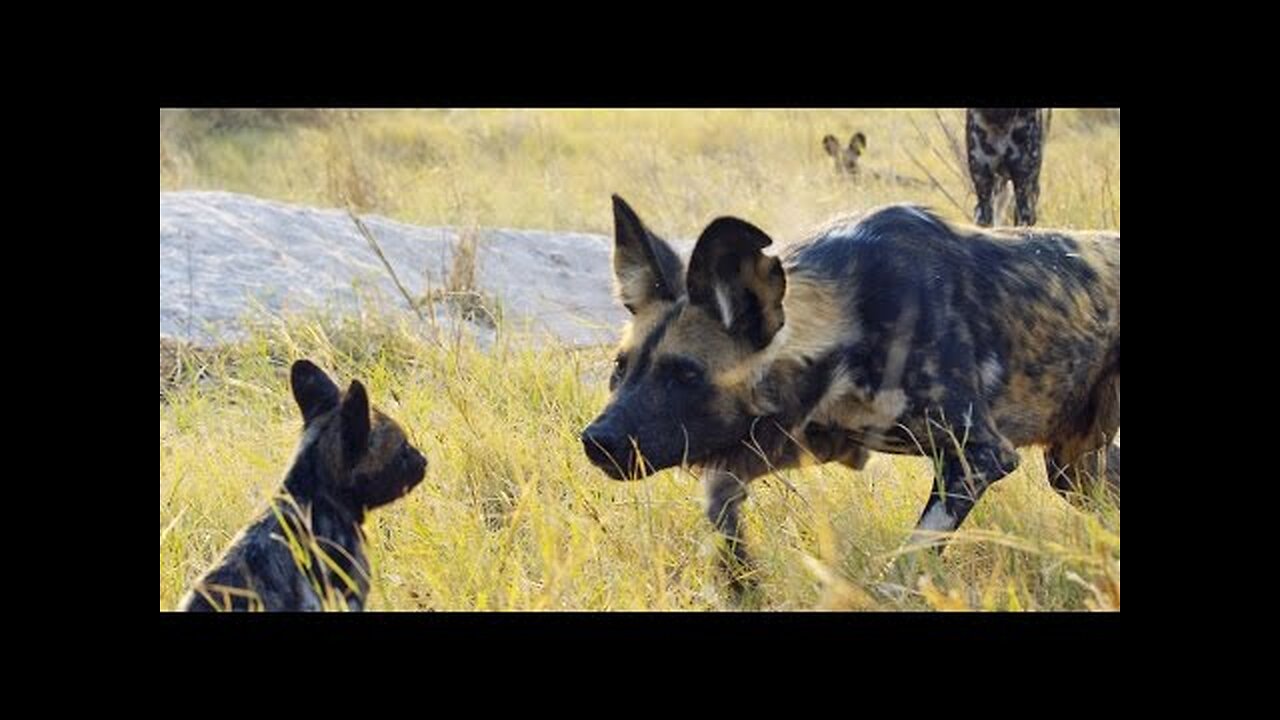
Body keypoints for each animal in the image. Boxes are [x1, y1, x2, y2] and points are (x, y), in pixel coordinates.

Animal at [583, 194, 1121, 589]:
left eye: (685, 375)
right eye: (620, 369)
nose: (597, 441)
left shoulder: (978, 455)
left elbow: (906, 564)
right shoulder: (790, 440)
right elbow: (722, 513)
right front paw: (742, 586)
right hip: (1074, 470)